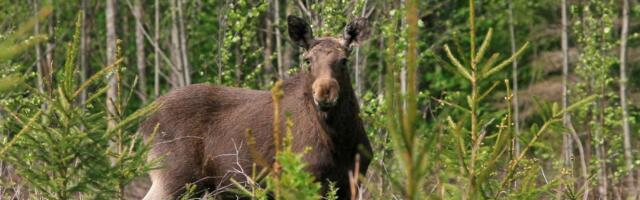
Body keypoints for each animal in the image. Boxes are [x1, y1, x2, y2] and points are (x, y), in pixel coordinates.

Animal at [139, 16, 370, 200]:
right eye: (308, 60)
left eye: (344, 60)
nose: (324, 93)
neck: (340, 141)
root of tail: (143, 123)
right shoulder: (299, 178)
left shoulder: (351, 183)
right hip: (173, 178)